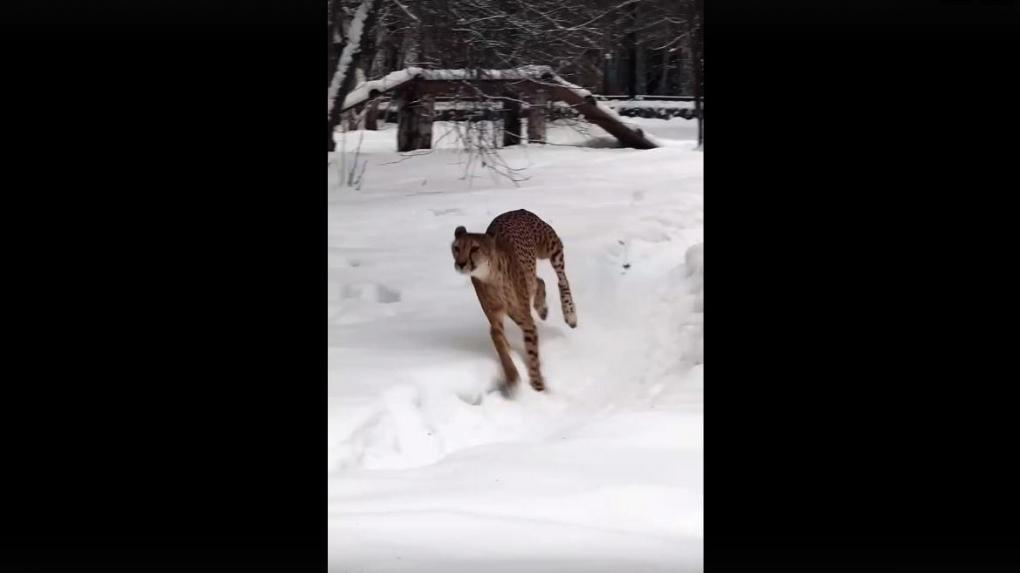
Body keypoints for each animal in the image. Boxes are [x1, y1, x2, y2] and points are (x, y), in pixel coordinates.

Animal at [452, 210, 579, 391]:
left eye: (475, 248)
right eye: (456, 248)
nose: (461, 263)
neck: (490, 276)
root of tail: (518, 210)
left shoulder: (526, 320)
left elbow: (532, 353)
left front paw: (538, 384)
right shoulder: (496, 320)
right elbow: (500, 345)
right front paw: (511, 376)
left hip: (549, 247)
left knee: (562, 278)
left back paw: (570, 314)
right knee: (538, 281)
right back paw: (541, 308)